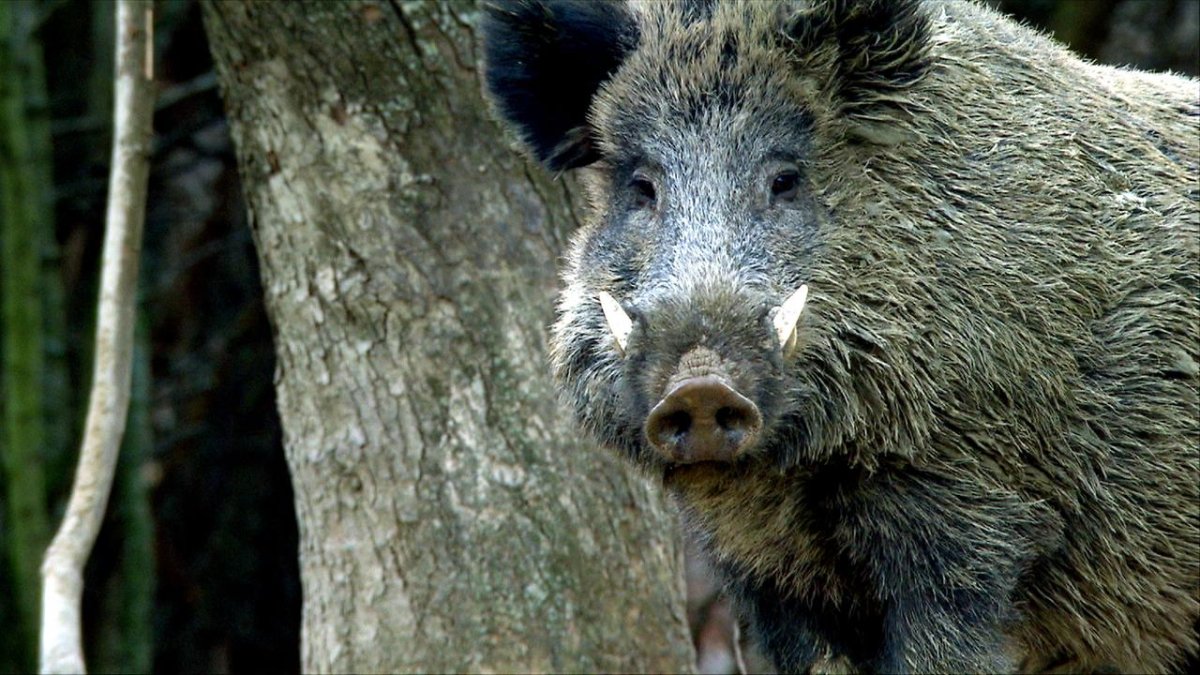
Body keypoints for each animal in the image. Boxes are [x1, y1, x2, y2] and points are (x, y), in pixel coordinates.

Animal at [481, 0, 1200, 672]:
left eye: (785, 179)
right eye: (642, 186)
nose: (700, 385)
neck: (801, 475)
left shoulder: (976, 509)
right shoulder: (767, 572)